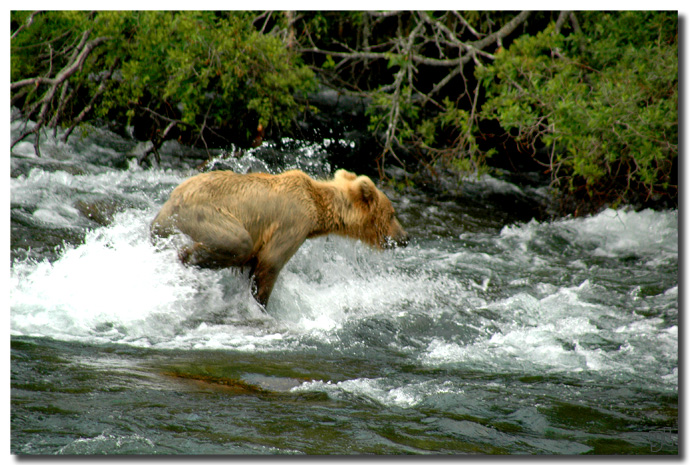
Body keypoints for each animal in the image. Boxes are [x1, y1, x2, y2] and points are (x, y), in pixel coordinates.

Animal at [150, 169, 406, 306]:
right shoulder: (293, 224)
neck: (318, 211)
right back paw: (185, 256)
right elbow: (270, 264)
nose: (405, 237)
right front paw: (260, 303)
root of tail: (171, 201)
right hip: (206, 214)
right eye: (393, 214)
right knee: (238, 242)